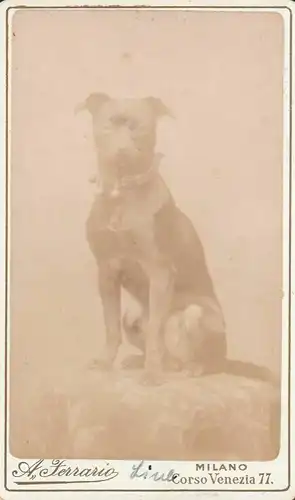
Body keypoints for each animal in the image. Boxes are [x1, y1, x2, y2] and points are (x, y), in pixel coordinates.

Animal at [75, 94, 227, 382]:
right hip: (132, 313)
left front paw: (152, 375)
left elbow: (156, 328)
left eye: (139, 127)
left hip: (197, 315)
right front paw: (105, 362)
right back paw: (143, 361)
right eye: (108, 125)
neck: (120, 195)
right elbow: (110, 325)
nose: (122, 149)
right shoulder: (106, 270)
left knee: (208, 359)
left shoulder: (160, 272)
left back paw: (190, 367)